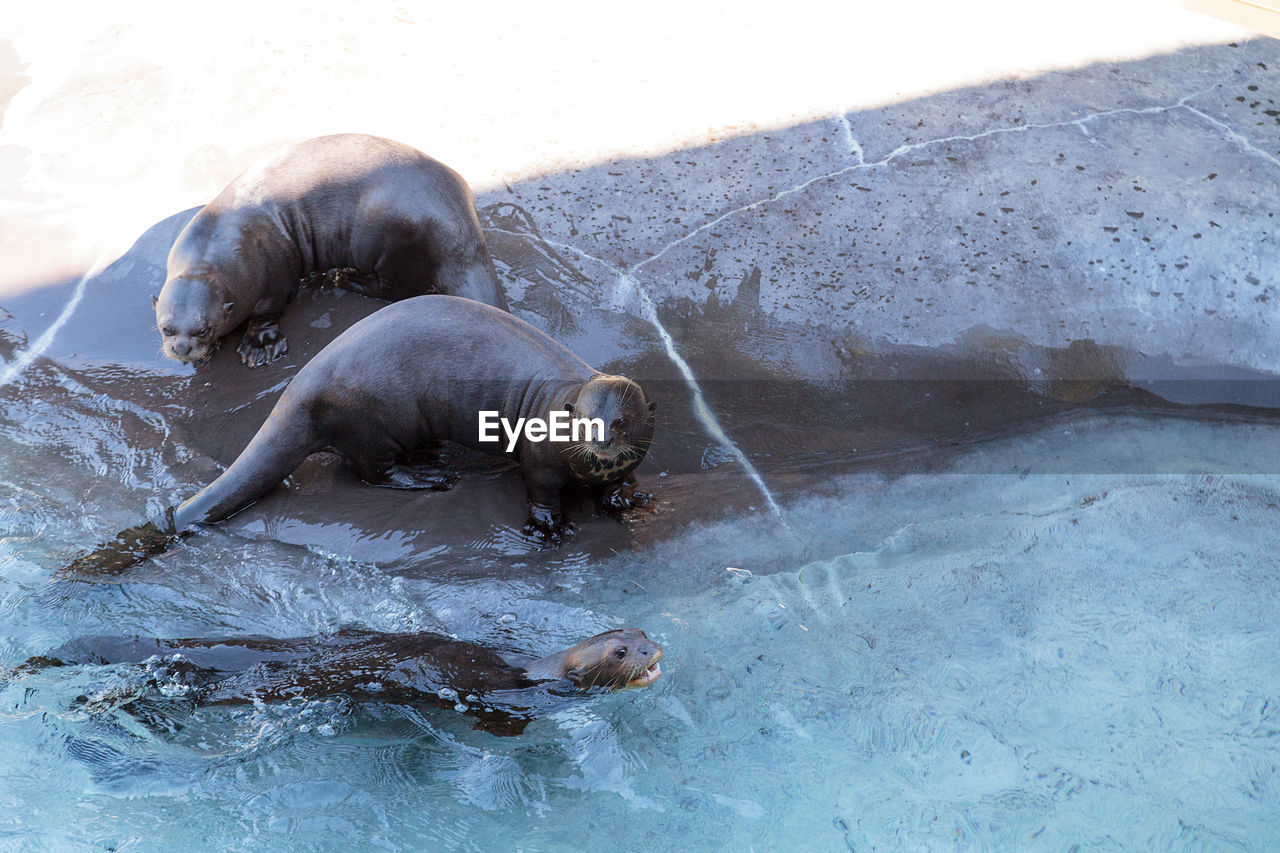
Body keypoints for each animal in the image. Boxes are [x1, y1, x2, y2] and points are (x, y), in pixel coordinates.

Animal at [153, 133, 504, 366]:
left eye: (203, 329)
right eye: (165, 328)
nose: (181, 349)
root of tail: (459, 227)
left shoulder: (275, 277)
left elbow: (268, 311)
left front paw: (259, 344)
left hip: (390, 243)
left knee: (399, 289)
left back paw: (345, 278)